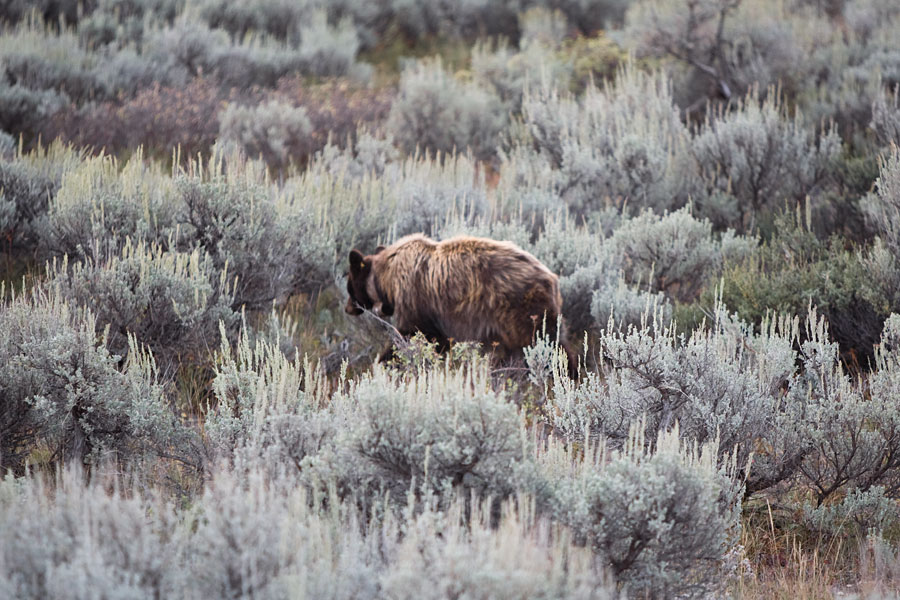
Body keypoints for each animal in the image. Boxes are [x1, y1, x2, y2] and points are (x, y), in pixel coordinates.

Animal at [345, 233, 577, 377]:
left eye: (348, 287)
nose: (347, 308)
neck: (388, 279)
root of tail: (551, 278)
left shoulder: (416, 300)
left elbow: (414, 335)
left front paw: (381, 363)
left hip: (523, 311)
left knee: (548, 343)